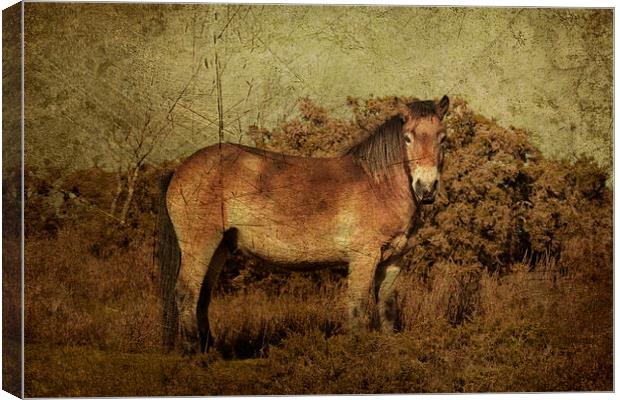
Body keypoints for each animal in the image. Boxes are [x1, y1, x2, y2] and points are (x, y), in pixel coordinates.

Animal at [159, 96, 450, 354]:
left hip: (219, 248)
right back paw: (194, 354)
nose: (426, 188)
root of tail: (180, 170)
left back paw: (211, 350)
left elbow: (386, 307)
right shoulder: (363, 258)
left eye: (442, 137)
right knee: (186, 292)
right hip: (199, 245)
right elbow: (357, 305)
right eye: (408, 137)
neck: (378, 184)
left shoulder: (393, 260)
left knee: (202, 296)